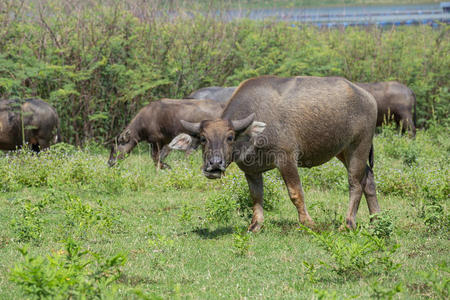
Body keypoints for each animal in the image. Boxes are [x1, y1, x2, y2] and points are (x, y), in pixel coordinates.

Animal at [171, 75, 382, 232]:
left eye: (229, 137)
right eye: (203, 138)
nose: (214, 165)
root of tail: (368, 97)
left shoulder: (287, 159)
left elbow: (296, 193)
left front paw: (308, 223)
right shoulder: (251, 170)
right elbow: (256, 196)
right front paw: (255, 225)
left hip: (359, 146)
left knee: (355, 183)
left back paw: (348, 224)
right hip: (343, 151)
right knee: (368, 179)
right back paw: (376, 220)